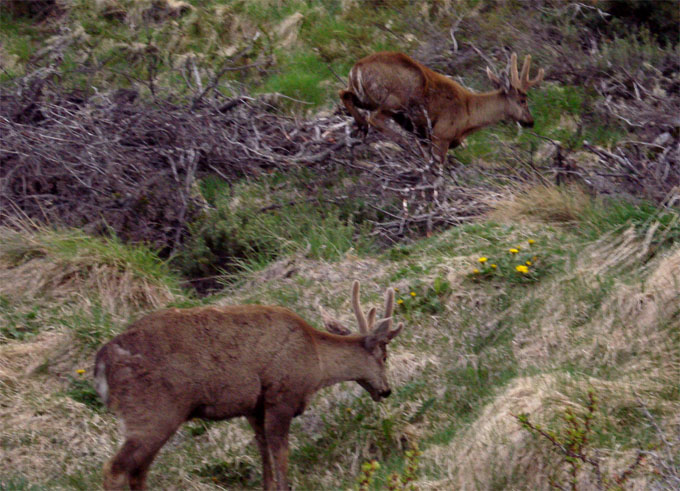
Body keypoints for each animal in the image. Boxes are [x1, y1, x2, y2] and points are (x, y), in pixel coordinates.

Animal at [95, 282, 404, 490]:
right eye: (385, 355)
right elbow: (280, 455)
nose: (386, 390)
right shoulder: (281, 395)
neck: (315, 361)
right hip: (153, 410)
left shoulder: (254, 407)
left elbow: (263, 454)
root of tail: (103, 361)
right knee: (114, 468)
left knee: (138, 470)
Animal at [340, 51, 548, 164]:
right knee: (375, 117)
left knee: (343, 93)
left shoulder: (428, 135)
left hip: (363, 95)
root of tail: (357, 68)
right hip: (394, 99)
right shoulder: (442, 133)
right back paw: (405, 144)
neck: (469, 113)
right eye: (523, 100)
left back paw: (361, 127)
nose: (530, 121)